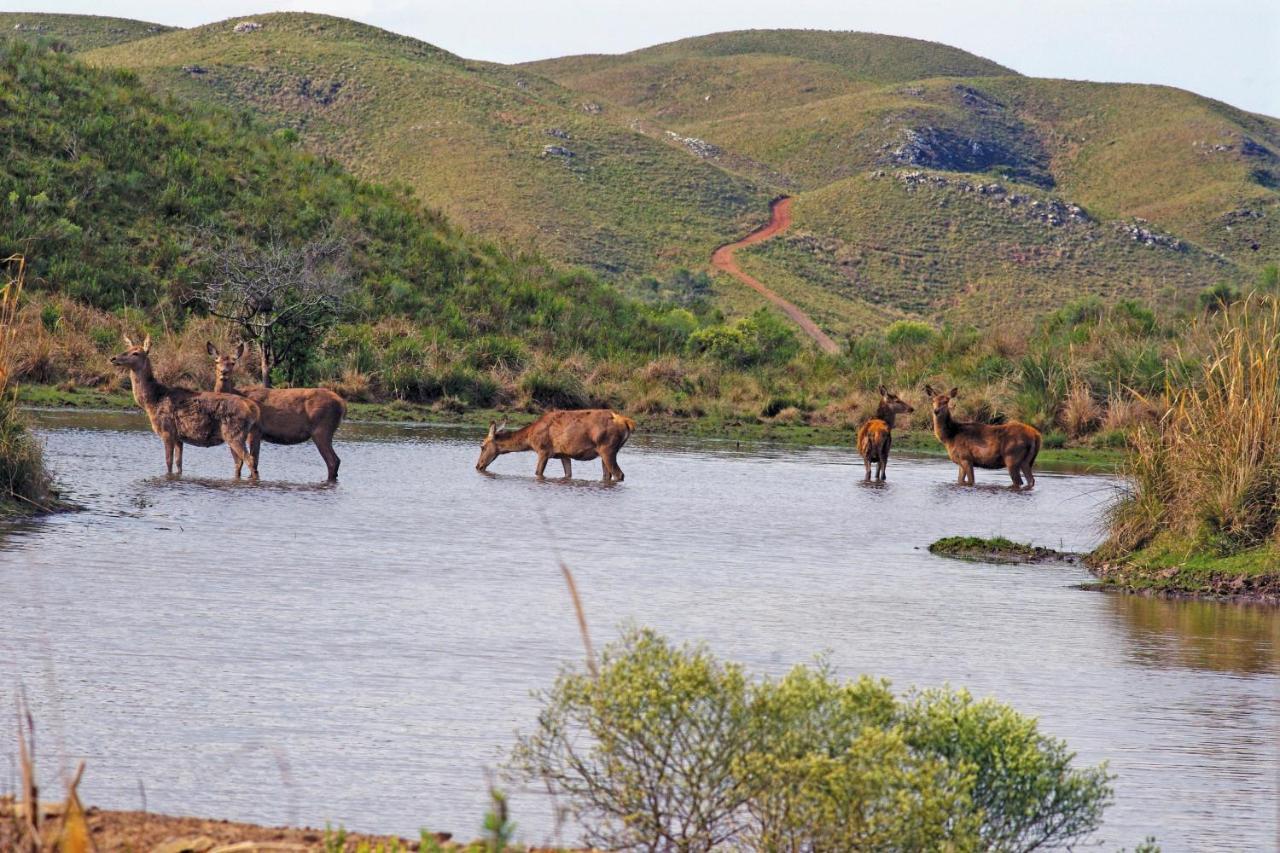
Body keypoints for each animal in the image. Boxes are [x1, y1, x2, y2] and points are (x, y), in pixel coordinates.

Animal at [110, 333, 259, 479]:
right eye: (128, 349)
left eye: (136, 353)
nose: (113, 358)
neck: (151, 401)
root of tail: (253, 409)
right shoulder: (178, 437)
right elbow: (178, 464)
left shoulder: (167, 431)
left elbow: (168, 462)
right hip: (234, 435)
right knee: (240, 462)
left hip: (234, 433)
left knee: (250, 460)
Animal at [209, 340, 350, 479]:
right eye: (216, 361)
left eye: (233, 363)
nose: (223, 372)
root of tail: (342, 403)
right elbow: (243, 463)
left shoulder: (256, 429)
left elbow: (253, 461)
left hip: (322, 429)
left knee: (333, 461)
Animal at [476, 409, 640, 481]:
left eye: (482, 446)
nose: (478, 465)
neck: (529, 438)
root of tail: (627, 422)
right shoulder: (564, 454)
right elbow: (568, 474)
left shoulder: (543, 450)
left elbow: (538, 472)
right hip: (605, 452)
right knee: (608, 475)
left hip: (608, 448)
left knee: (619, 474)